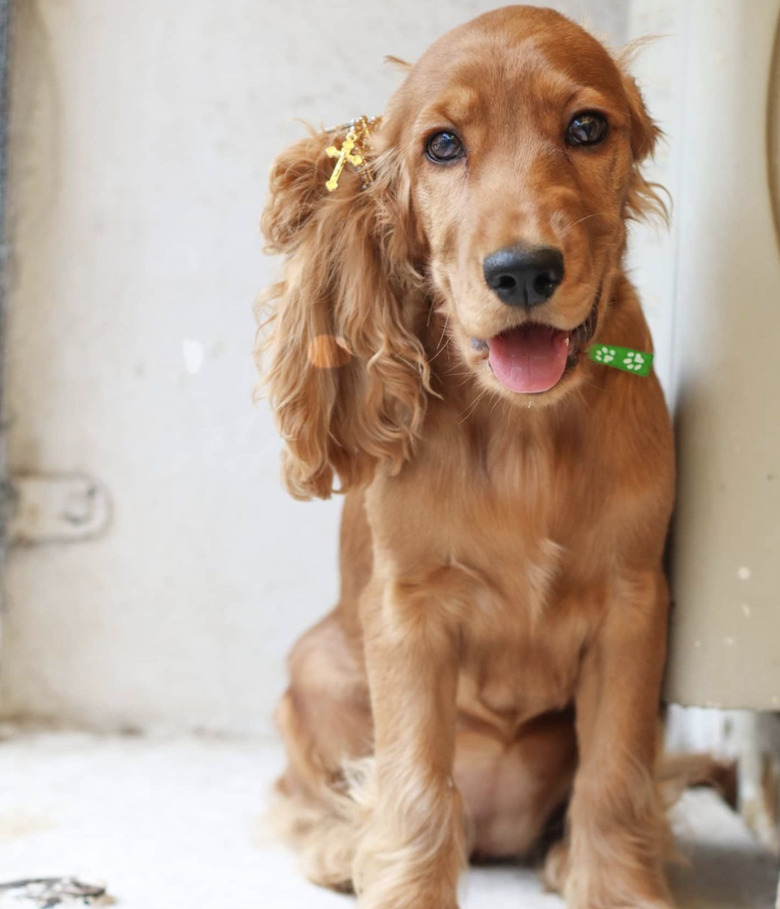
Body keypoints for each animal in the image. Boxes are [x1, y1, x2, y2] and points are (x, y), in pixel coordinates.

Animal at [258, 7, 672, 908]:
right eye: (442, 145)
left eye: (586, 128)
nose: (523, 272)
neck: (524, 431)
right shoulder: (409, 610)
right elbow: (415, 780)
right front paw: (404, 884)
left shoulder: (633, 602)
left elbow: (615, 768)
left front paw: (614, 885)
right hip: (314, 667)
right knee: (305, 789)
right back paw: (338, 844)